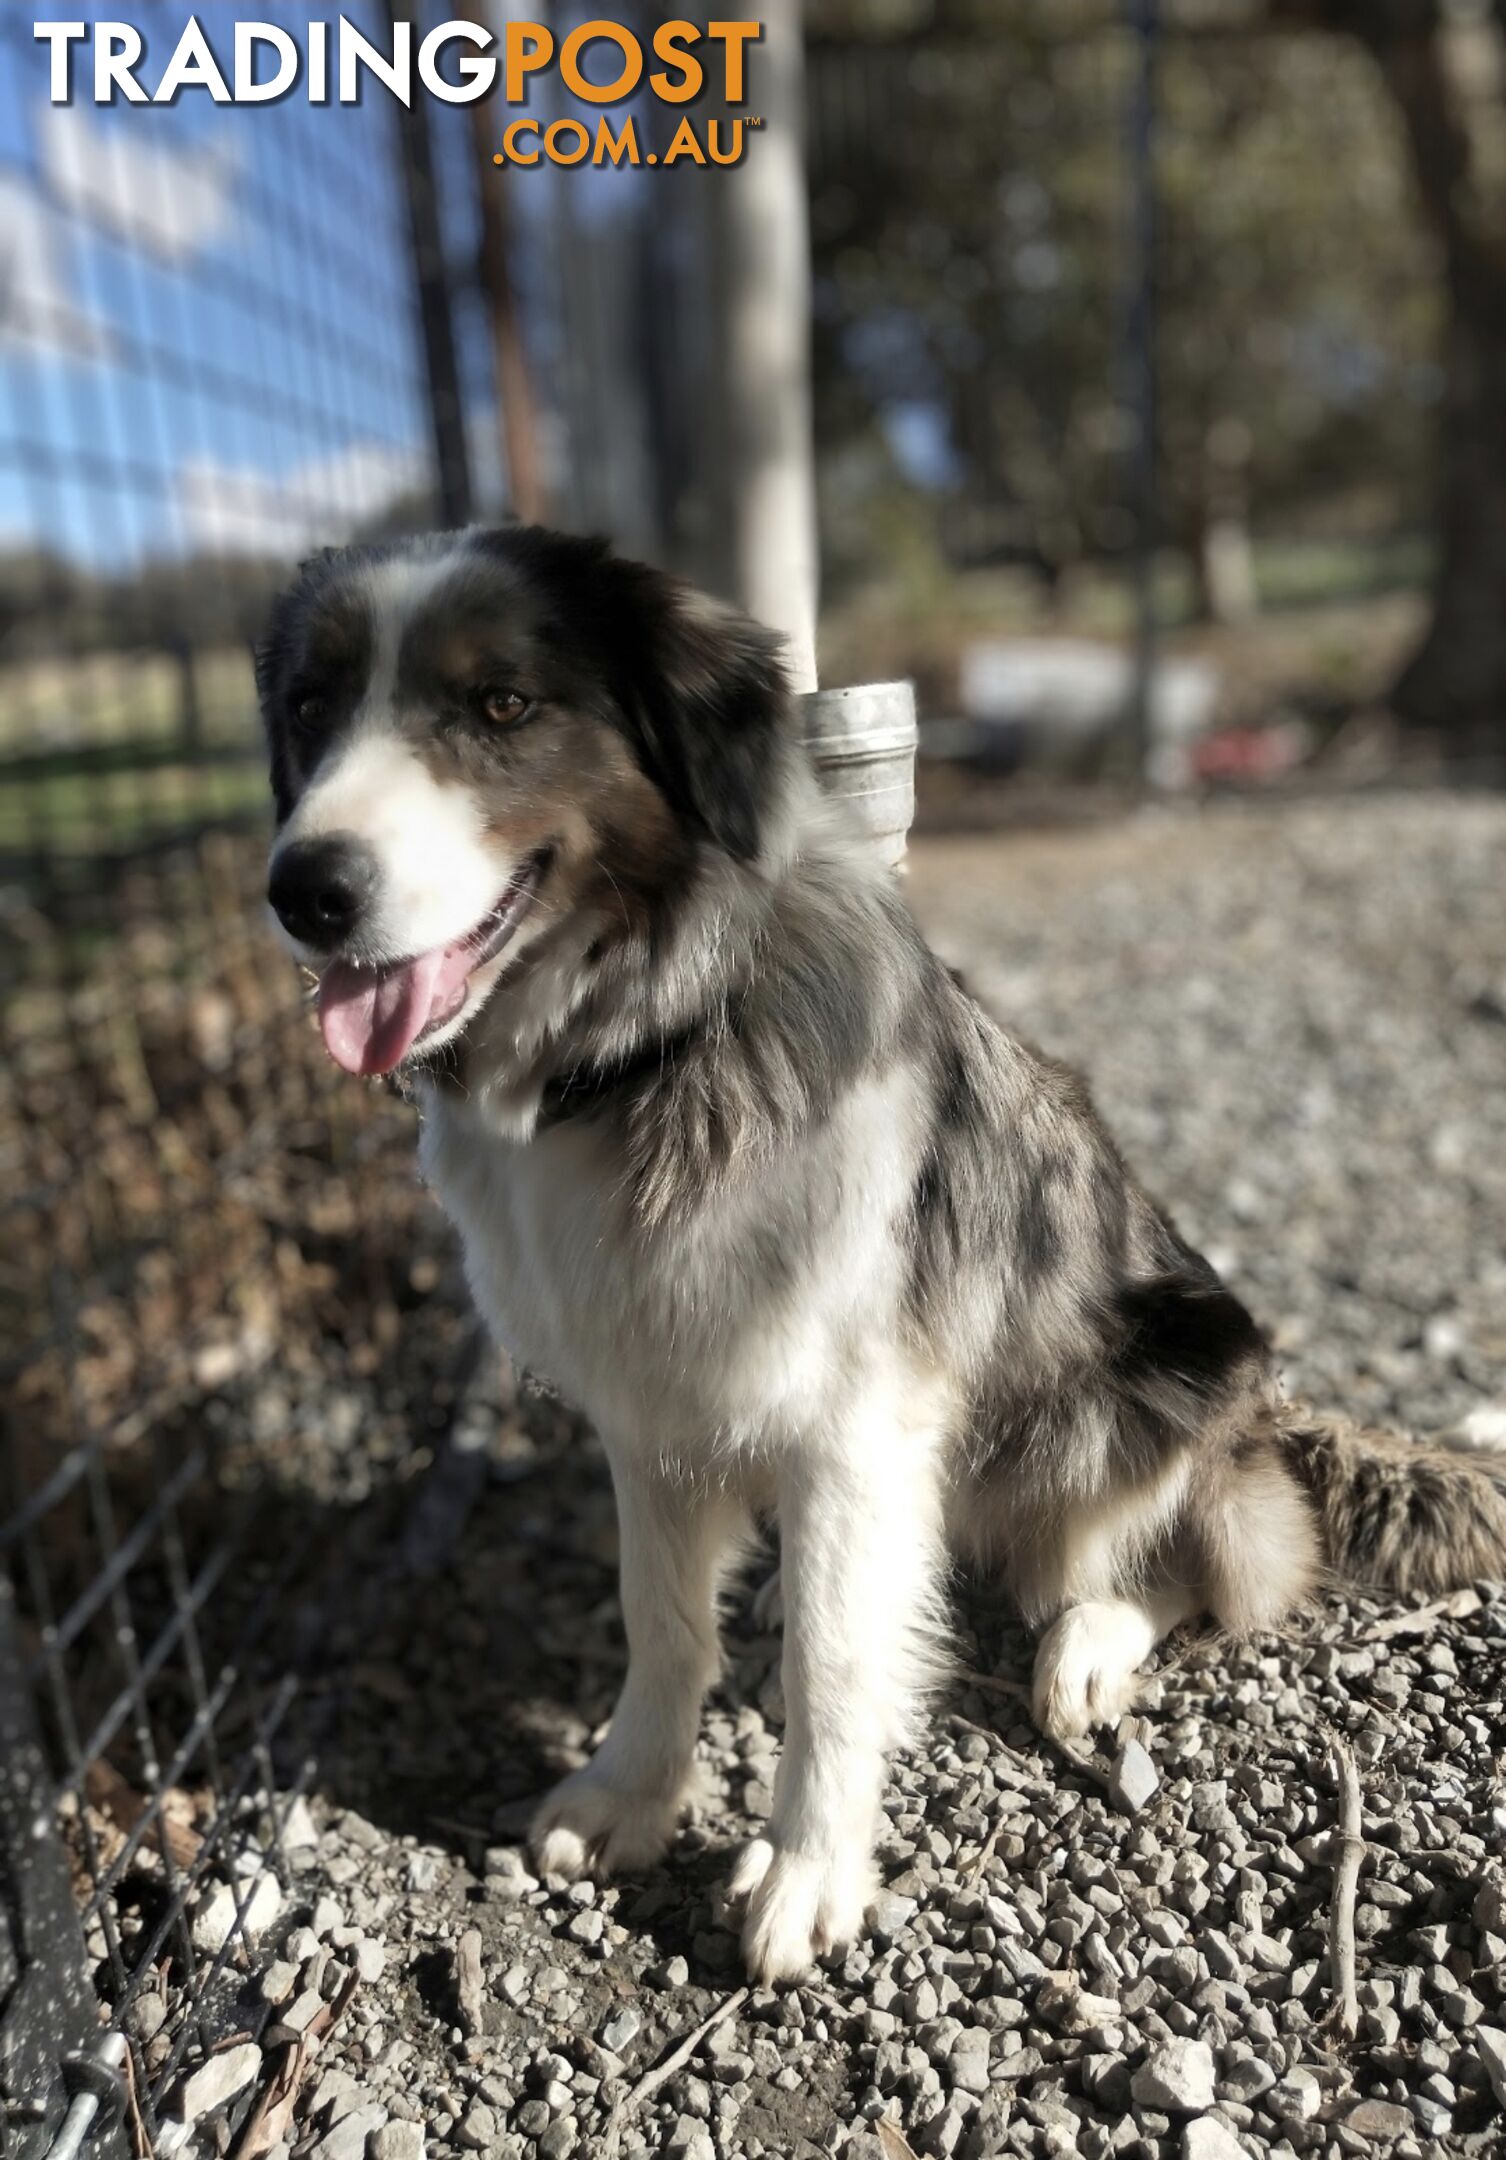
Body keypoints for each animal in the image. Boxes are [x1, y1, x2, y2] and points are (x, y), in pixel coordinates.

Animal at [258, 518, 1503, 1978]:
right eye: (309, 709)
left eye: (501, 704)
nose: (303, 890)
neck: (643, 1054)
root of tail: (1274, 1419)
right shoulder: (648, 1406)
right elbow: (657, 1618)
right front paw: (632, 1793)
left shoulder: (855, 1419)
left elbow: (838, 1665)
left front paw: (808, 1870)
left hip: (1150, 1375)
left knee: (1202, 1560)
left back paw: (1089, 1642)